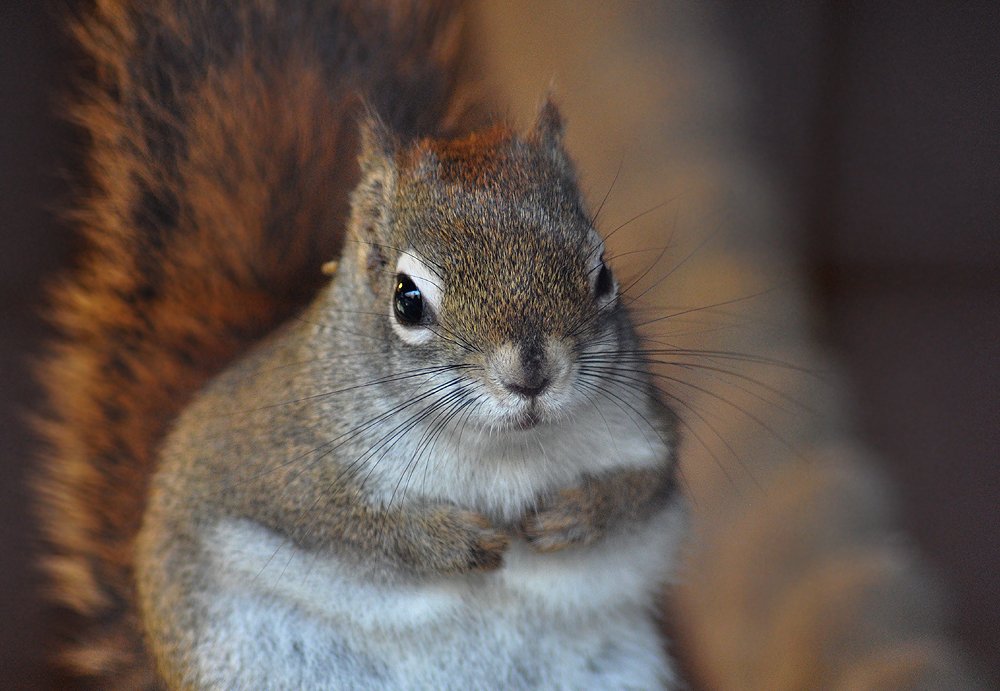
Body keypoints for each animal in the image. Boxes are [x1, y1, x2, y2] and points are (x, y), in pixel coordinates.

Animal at [35, 1, 684, 691]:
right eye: (407, 299)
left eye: (603, 274)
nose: (531, 375)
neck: (501, 452)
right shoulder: (274, 464)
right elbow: (342, 521)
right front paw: (443, 541)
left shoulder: (642, 424)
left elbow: (650, 483)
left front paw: (579, 512)